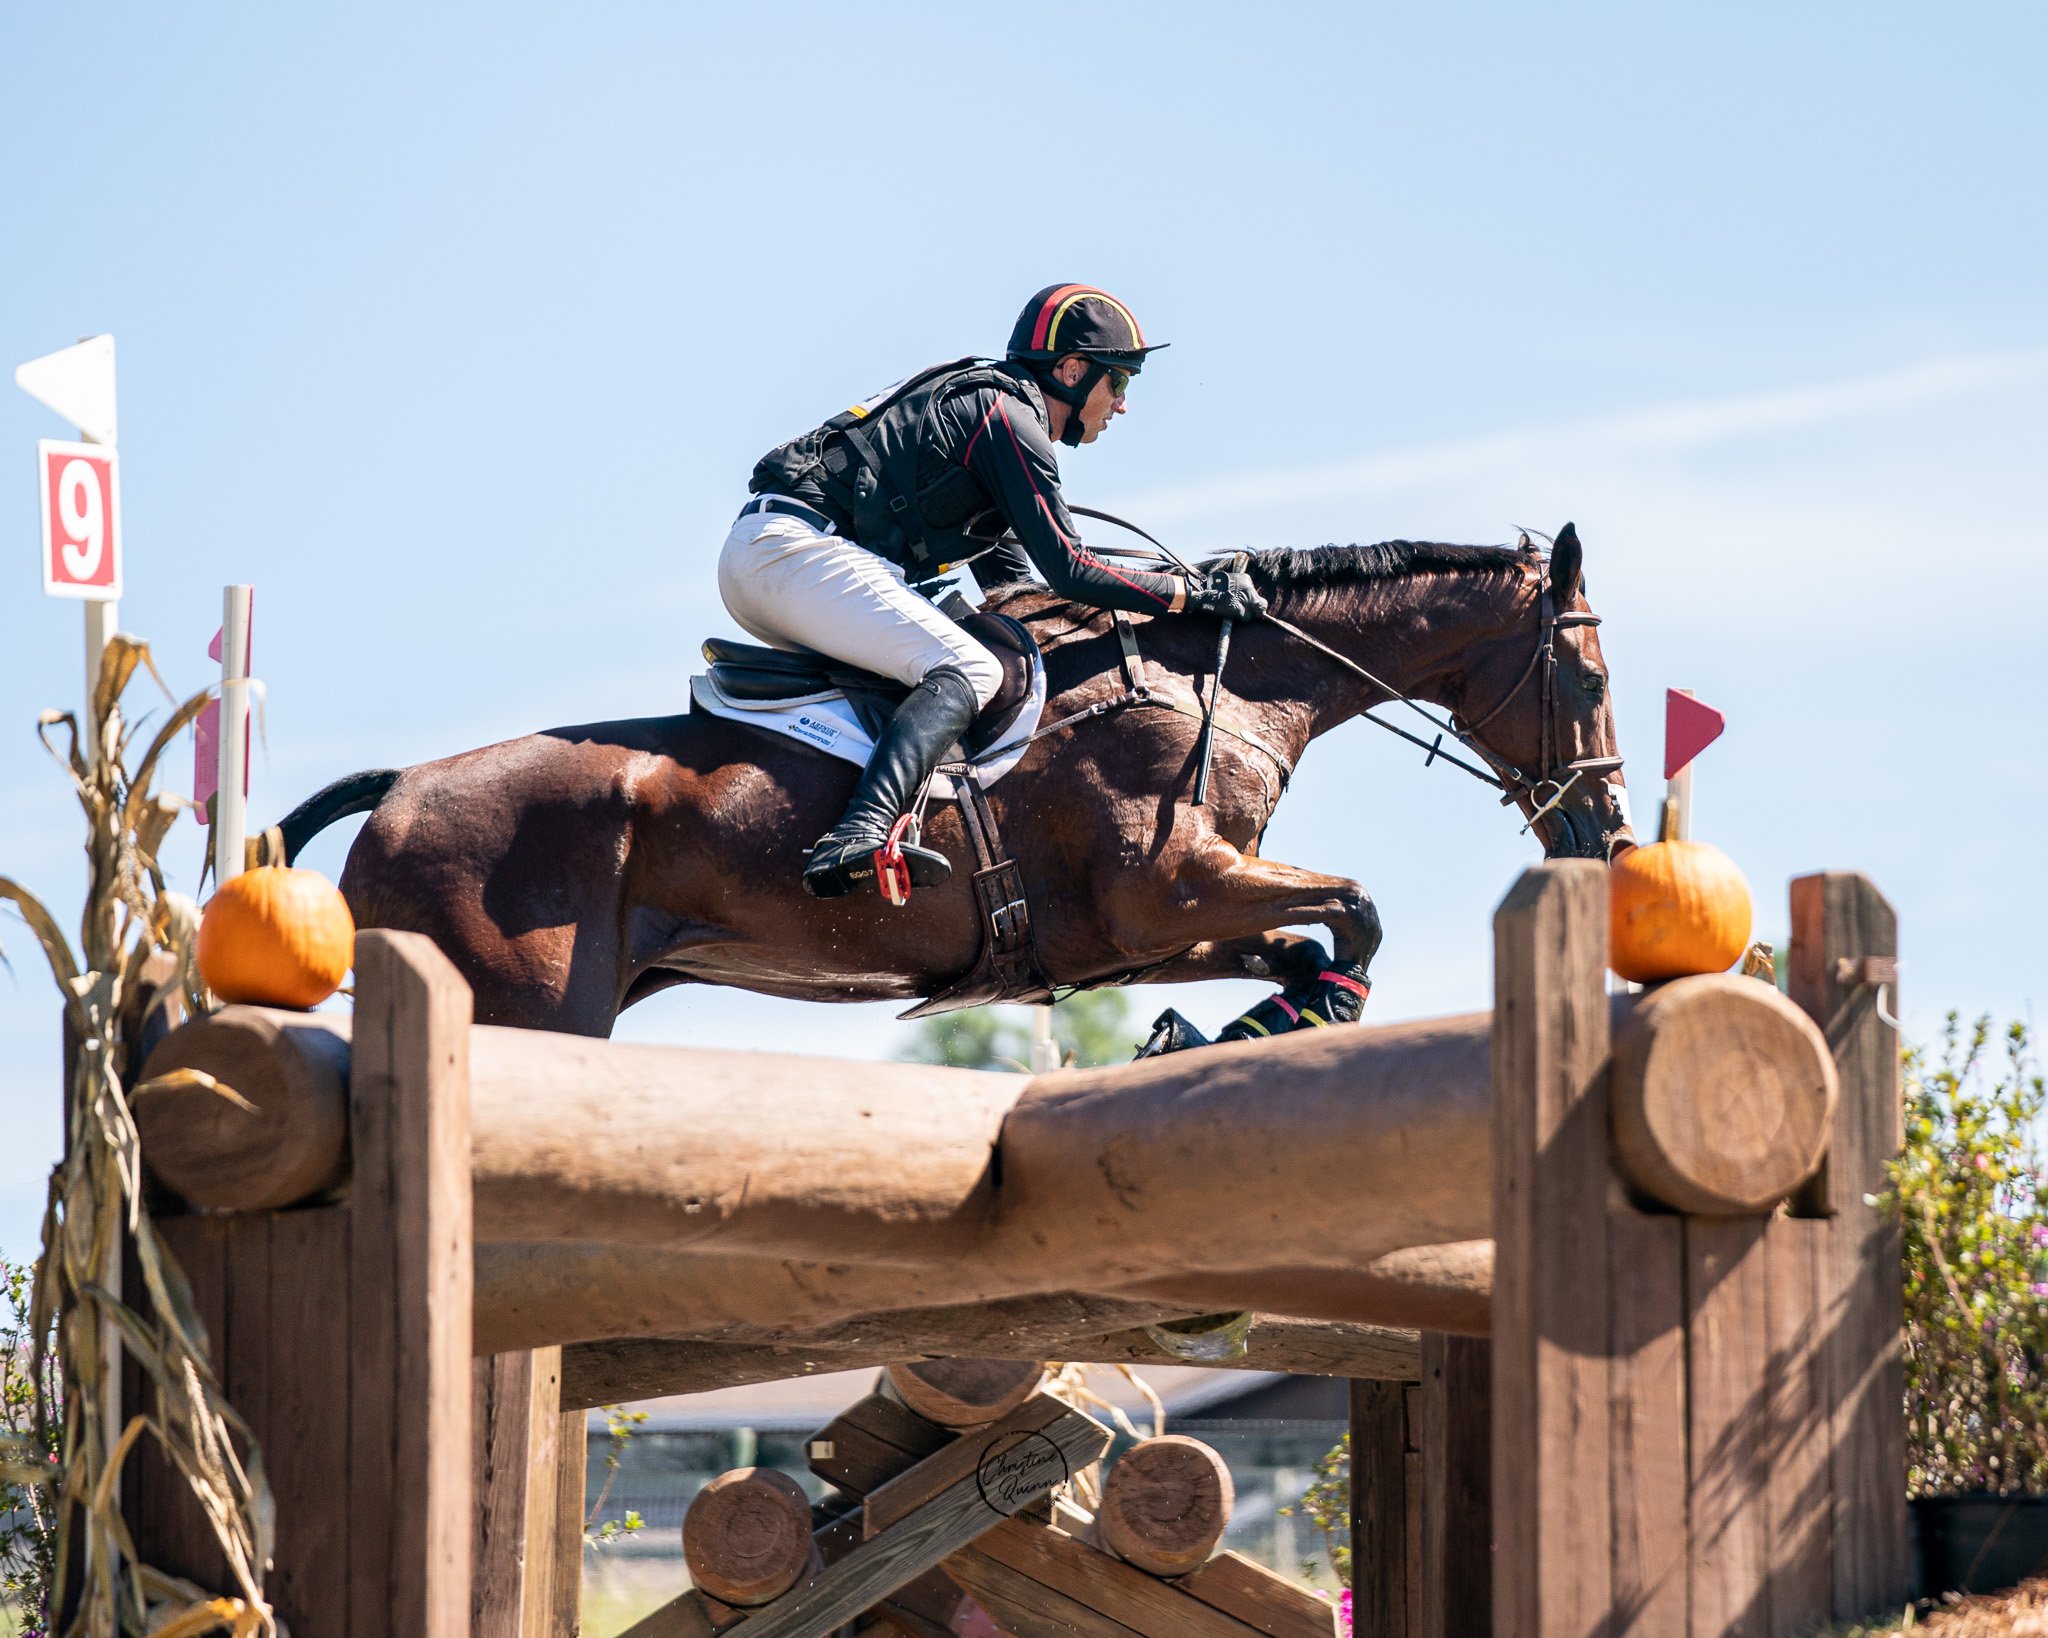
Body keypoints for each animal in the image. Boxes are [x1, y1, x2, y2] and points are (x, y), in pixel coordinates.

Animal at [284, 524, 1630, 1036]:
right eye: (1583, 671)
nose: (1606, 836)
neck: (1227, 682)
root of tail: (398, 786)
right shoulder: (1171, 889)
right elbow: (1356, 904)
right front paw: (1307, 1017)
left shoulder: (1139, 933)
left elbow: (1307, 938)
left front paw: (1249, 1025)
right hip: (528, 1011)